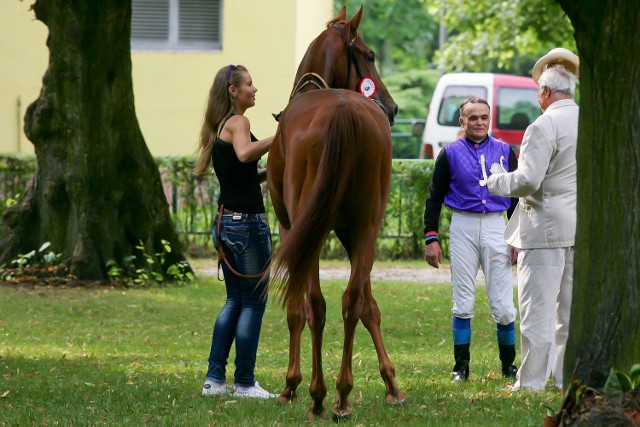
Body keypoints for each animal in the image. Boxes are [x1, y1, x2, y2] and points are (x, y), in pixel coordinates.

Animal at [268, 5, 408, 422]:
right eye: (370, 55)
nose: (393, 108)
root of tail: (344, 112)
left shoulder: (289, 229)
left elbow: (298, 309)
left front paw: (292, 385)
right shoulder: (352, 234)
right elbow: (369, 305)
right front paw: (391, 383)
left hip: (308, 231)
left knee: (316, 304)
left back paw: (319, 394)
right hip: (366, 228)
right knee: (352, 301)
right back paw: (343, 395)